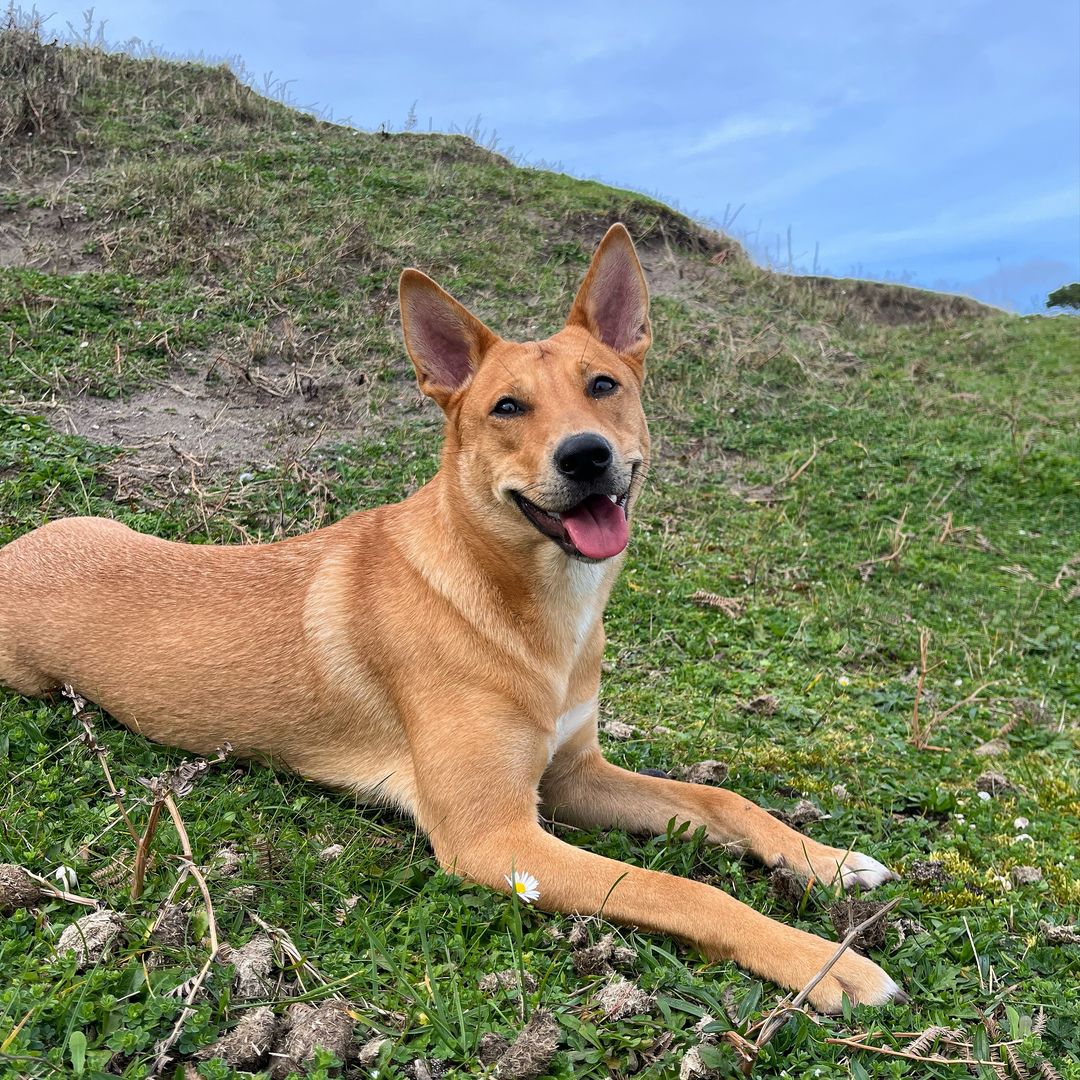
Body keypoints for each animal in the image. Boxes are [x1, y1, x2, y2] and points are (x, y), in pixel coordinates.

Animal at [2, 225, 902, 1010]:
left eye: (603, 385)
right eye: (506, 407)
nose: (586, 456)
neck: (519, 601)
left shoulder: (572, 775)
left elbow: (721, 800)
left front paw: (824, 860)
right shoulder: (496, 838)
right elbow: (676, 887)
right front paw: (826, 963)